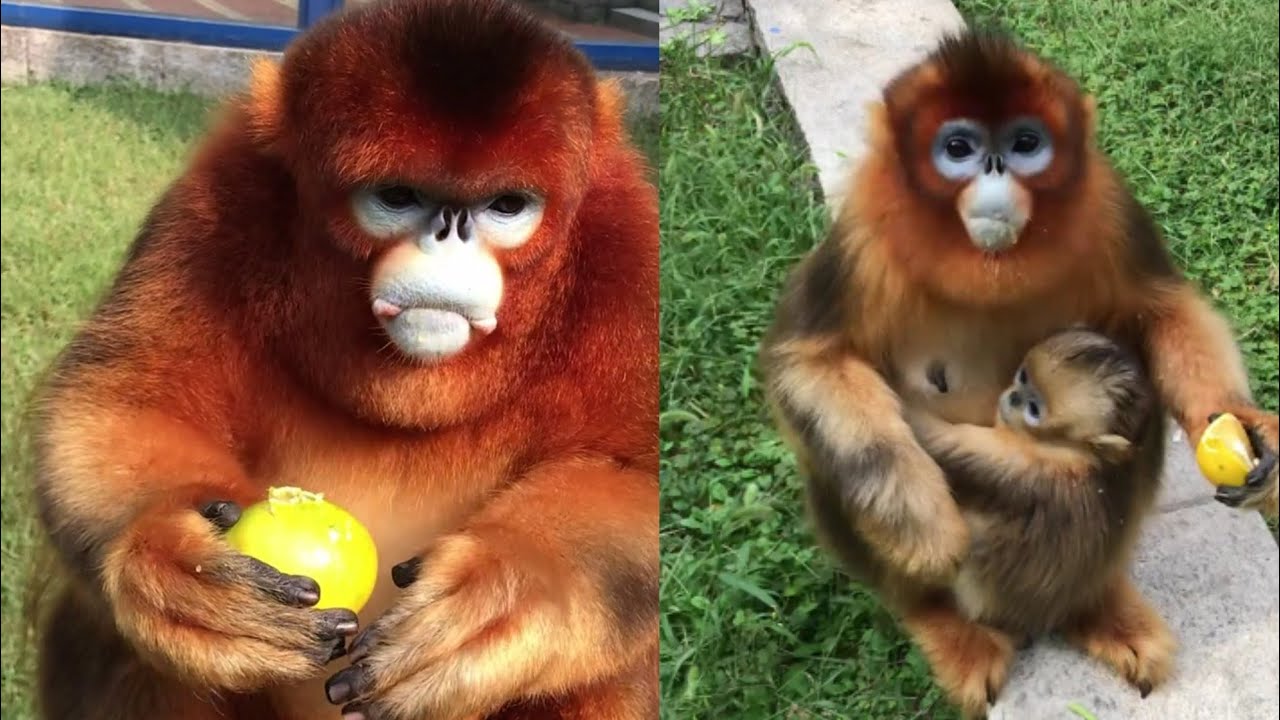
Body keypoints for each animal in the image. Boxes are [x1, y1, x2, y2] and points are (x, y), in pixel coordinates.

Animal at [25, 2, 658, 720]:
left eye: (506, 206)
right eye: (398, 196)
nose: (446, 241)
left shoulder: (628, 245)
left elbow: (636, 478)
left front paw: (506, 592)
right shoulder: (215, 198)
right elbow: (116, 400)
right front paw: (174, 564)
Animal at [904, 328, 1173, 679]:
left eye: (1034, 410)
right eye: (1022, 377)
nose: (1013, 398)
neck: (1077, 456)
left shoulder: (1019, 463)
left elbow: (934, 440)